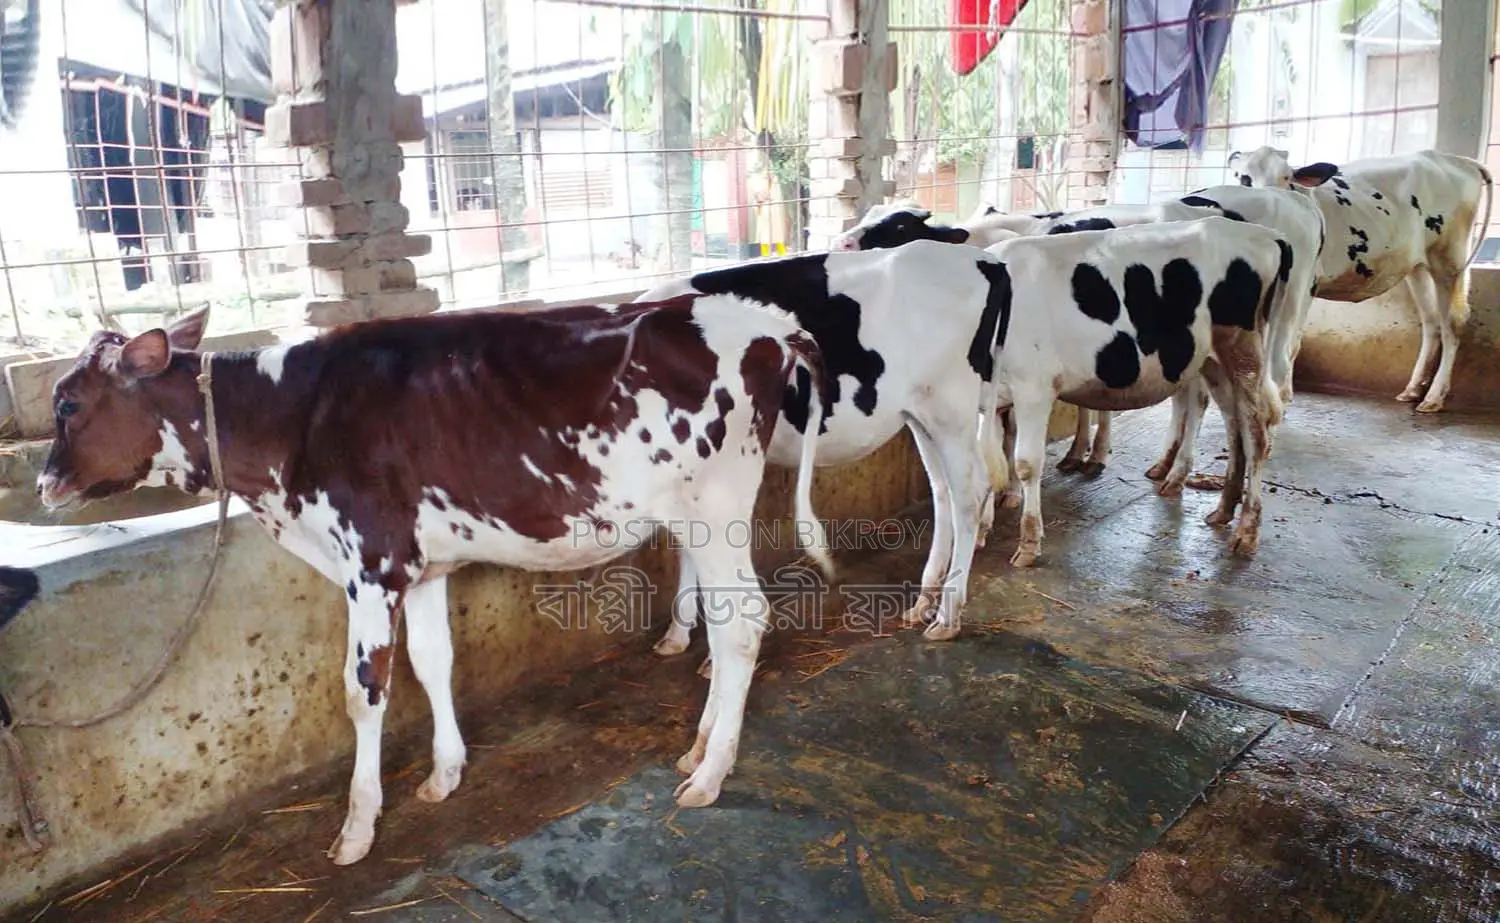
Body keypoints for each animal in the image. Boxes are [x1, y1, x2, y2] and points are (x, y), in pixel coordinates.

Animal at [34, 295, 833, 866]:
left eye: (67, 403)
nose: (42, 485)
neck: (291, 423)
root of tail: (766, 324)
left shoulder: (368, 563)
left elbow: (363, 693)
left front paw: (357, 827)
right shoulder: (419, 569)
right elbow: (432, 661)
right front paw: (445, 773)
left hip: (717, 509)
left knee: (744, 625)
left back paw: (710, 774)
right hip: (701, 520)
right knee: (727, 630)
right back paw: (697, 747)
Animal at [629, 239, 1015, 666]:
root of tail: (985, 258)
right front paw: (677, 634)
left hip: (952, 410)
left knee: (969, 496)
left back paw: (947, 615)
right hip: (922, 415)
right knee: (943, 491)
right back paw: (924, 601)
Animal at [972, 215, 1295, 566]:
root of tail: (1266, 234)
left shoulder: (1034, 388)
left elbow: (1025, 463)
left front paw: (1028, 545)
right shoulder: (990, 399)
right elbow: (987, 464)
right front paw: (980, 533)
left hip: (1244, 351)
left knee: (1256, 435)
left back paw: (1246, 531)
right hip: (1213, 361)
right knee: (1233, 425)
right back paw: (1222, 510)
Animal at [1230, 145, 1494, 413]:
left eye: (1287, 178)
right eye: (1244, 179)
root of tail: (1456, 159)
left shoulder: (1305, 284)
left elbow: (1288, 343)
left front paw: (1281, 396)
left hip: (1449, 259)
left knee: (1452, 322)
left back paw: (1434, 397)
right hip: (1418, 267)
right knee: (1431, 321)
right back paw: (1412, 390)